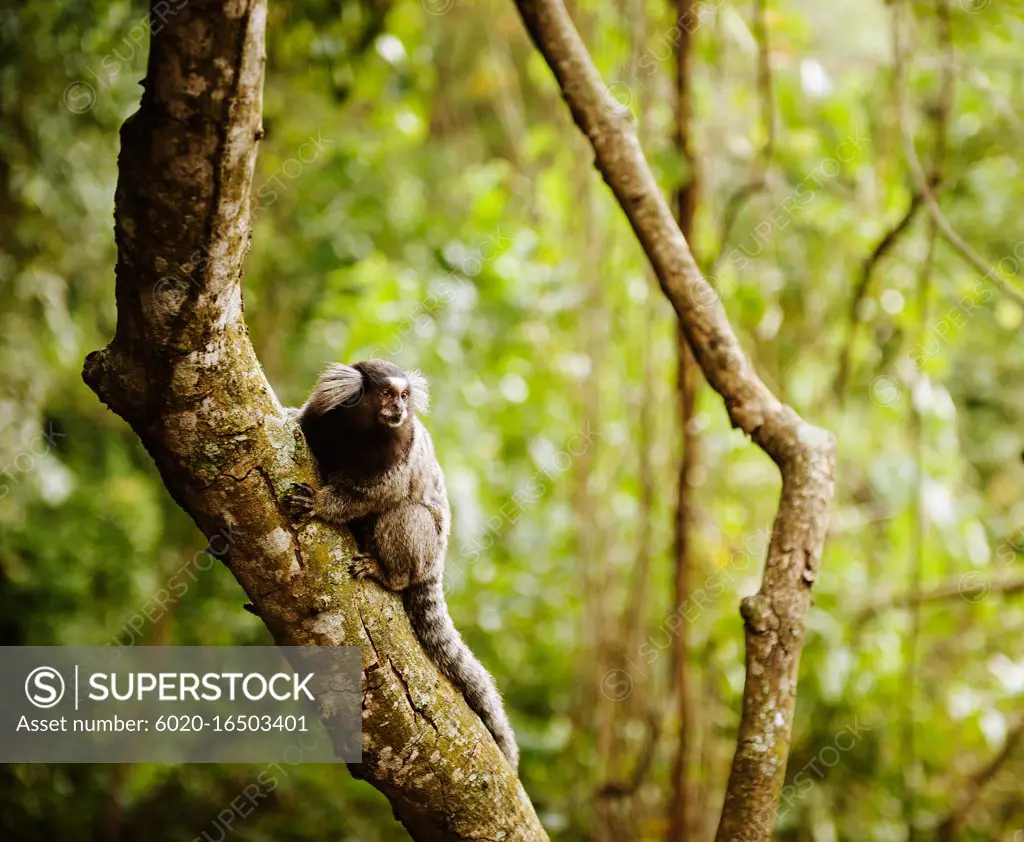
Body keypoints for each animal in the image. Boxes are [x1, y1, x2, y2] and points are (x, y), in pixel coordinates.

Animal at [282, 358, 516, 766]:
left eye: (405, 395)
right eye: (387, 393)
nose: (400, 409)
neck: (359, 433)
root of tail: (435, 563)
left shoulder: (398, 454)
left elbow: (377, 494)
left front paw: (322, 505)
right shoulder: (320, 416)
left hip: (424, 548)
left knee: (405, 515)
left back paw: (388, 574)